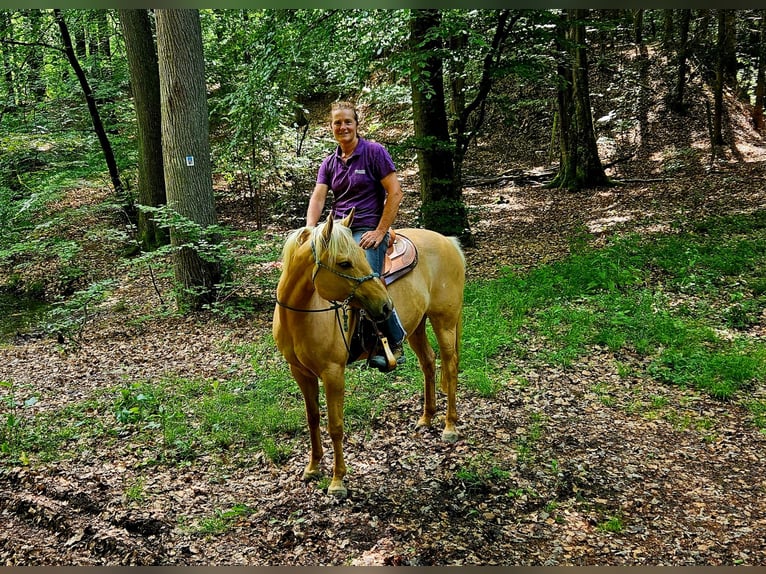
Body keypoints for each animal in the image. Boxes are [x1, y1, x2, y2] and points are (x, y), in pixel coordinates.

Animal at [272, 209, 465, 498]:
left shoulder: (333, 373)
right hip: (417, 325)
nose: (386, 306)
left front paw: (338, 481)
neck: (301, 314)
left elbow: (336, 425)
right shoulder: (300, 372)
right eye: (344, 263)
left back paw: (449, 426)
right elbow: (313, 418)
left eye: (363, 257)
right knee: (429, 363)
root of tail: (449, 242)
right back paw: (426, 418)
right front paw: (313, 467)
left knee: (450, 367)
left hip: (445, 321)